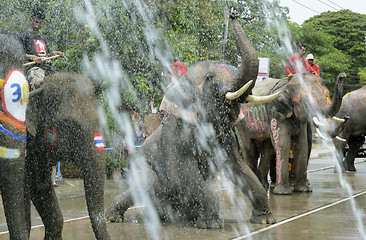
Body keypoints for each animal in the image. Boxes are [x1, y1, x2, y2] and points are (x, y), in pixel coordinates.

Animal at [106, 11, 278, 229]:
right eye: (210, 78)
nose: (233, 14)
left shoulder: (228, 137)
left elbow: (238, 168)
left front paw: (265, 221)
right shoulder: (175, 134)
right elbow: (183, 174)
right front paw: (212, 224)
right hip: (140, 166)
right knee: (149, 184)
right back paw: (114, 218)